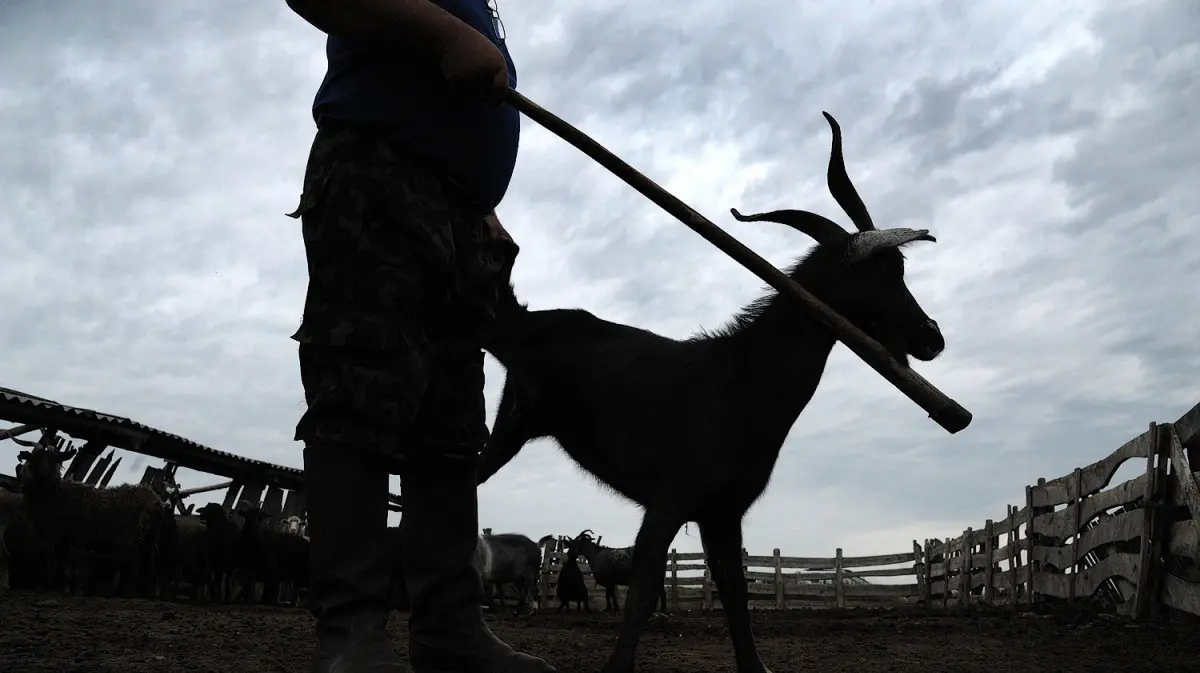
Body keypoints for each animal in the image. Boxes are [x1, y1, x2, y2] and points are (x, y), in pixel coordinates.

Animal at [477, 111, 945, 671]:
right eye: (883, 269)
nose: (932, 336)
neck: (741, 379)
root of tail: (529, 320)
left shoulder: (723, 513)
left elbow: (736, 596)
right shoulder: (670, 499)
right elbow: (641, 594)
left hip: (511, 426)